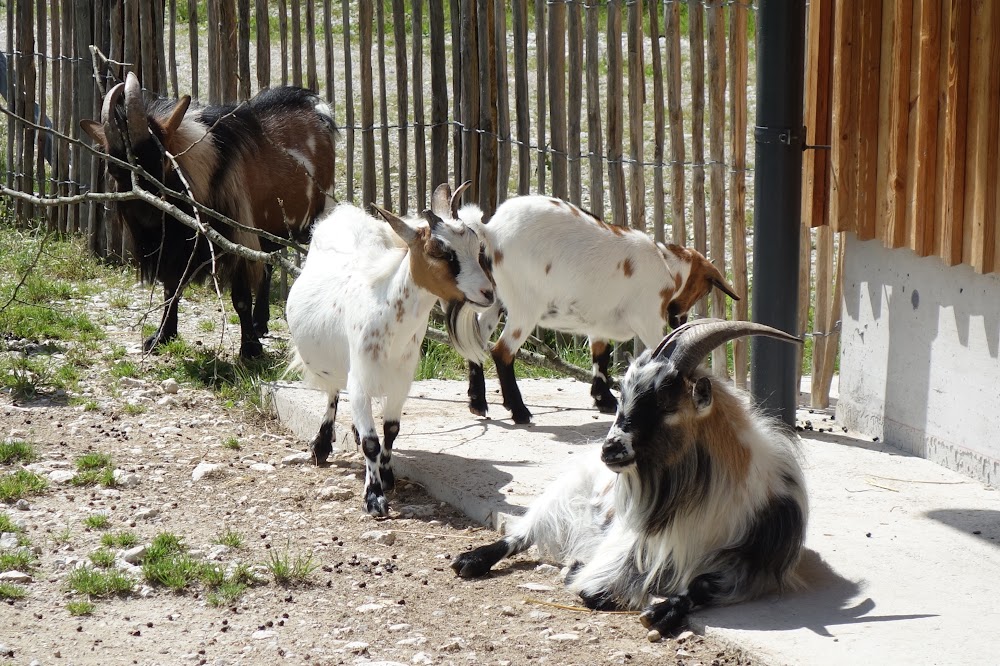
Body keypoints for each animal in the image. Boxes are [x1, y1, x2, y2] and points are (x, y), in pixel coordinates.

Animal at [82, 71, 336, 358]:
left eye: (161, 161)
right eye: (114, 169)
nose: (148, 217)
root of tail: (317, 109)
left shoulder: (236, 237)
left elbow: (240, 298)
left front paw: (250, 349)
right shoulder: (173, 248)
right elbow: (171, 289)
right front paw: (161, 336)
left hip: (319, 212)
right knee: (268, 263)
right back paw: (260, 323)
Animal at [288, 184, 494, 516]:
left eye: (476, 246)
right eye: (440, 252)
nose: (487, 293)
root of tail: (346, 214)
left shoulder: (402, 381)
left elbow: (391, 430)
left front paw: (386, 475)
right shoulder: (360, 378)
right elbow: (371, 442)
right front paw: (374, 498)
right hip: (337, 365)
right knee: (333, 392)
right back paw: (321, 445)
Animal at [450, 193, 740, 420]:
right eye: (705, 288)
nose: (682, 319)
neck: (666, 265)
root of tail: (491, 231)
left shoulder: (598, 321)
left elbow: (601, 355)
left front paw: (605, 400)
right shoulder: (649, 319)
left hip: (493, 300)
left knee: (475, 340)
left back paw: (478, 403)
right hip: (525, 307)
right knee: (502, 351)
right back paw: (519, 412)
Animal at [452, 320, 804, 636]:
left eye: (666, 404)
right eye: (623, 396)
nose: (609, 449)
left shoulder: (757, 562)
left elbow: (702, 584)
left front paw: (662, 613)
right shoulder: (632, 539)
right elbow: (598, 585)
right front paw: (581, 573)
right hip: (567, 491)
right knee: (523, 533)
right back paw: (470, 559)